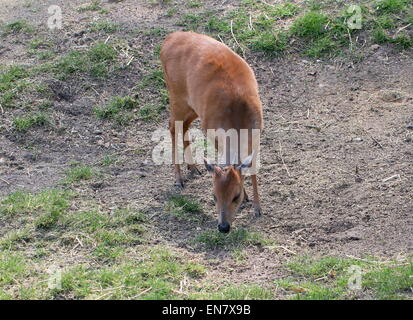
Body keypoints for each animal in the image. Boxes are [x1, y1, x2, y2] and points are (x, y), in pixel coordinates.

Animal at [159, 31, 262, 232]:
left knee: (183, 125)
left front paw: (256, 207)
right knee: (172, 125)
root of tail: (167, 40)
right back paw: (179, 179)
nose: (223, 227)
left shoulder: (257, 133)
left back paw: (193, 168)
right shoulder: (212, 133)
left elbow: (252, 168)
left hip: (192, 106)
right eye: (213, 195)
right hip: (177, 96)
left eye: (235, 196)